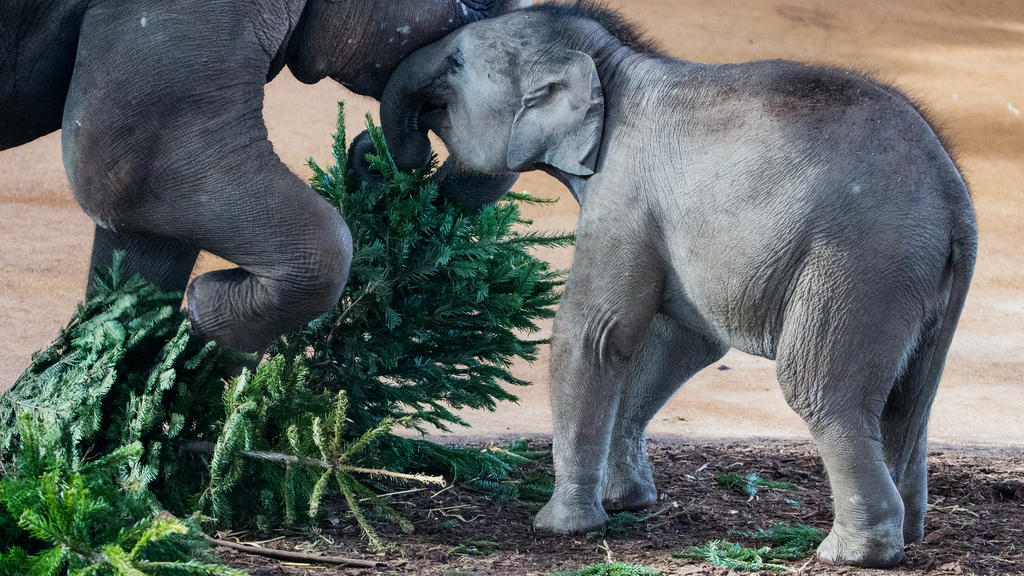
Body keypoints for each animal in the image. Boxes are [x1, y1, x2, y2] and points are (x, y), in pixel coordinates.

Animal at [380, 1, 978, 565]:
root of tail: (954, 200)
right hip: (918, 281)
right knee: (909, 398)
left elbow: (592, 335)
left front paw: (561, 528)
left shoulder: (621, 194)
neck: (612, 63)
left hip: (860, 265)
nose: (411, 162)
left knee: (820, 391)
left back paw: (850, 555)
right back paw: (909, 533)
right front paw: (625, 502)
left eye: (455, 64)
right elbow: (684, 339)